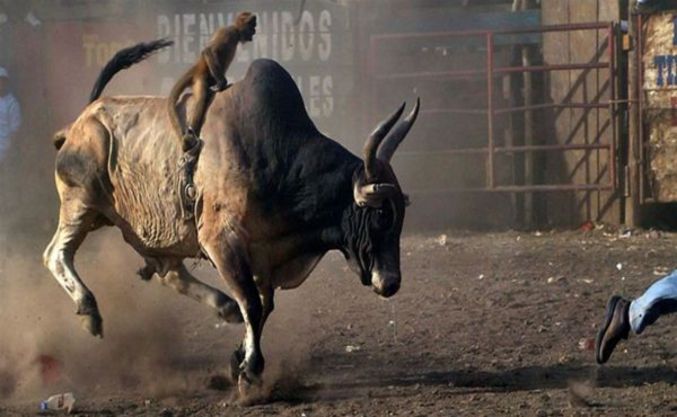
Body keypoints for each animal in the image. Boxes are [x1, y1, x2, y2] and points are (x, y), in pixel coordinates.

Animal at [43, 39, 418, 400]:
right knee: (56, 254)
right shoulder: (222, 242)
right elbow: (252, 303)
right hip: (81, 203)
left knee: (170, 273)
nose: (391, 282)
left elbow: (264, 307)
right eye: (382, 216)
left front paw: (239, 359)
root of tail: (80, 121)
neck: (278, 161)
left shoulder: (264, 256)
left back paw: (223, 306)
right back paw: (89, 310)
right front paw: (250, 373)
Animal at [167, 11, 256, 151]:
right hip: (200, 79)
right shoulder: (229, 32)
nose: (254, 31)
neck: (236, 30)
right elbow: (209, 51)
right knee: (201, 97)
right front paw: (222, 84)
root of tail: (197, 66)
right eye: (252, 26)